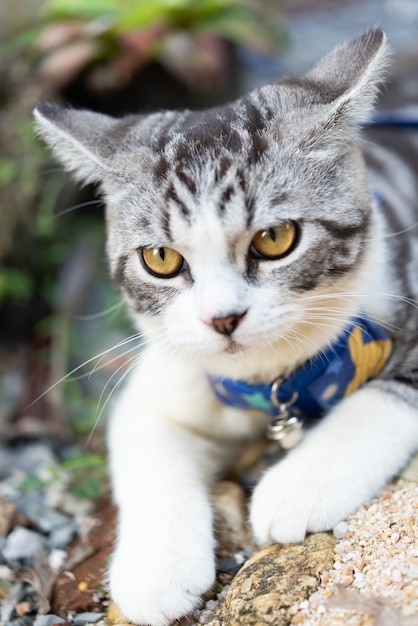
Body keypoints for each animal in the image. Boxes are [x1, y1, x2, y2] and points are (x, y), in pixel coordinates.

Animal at [34, 29, 418, 624]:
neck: (267, 381)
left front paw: (297, 486)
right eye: (161, 258)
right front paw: (155, 571)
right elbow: (146, 444)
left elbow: (382, 399)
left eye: (276, 239)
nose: (223, 318)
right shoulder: (169, 371)